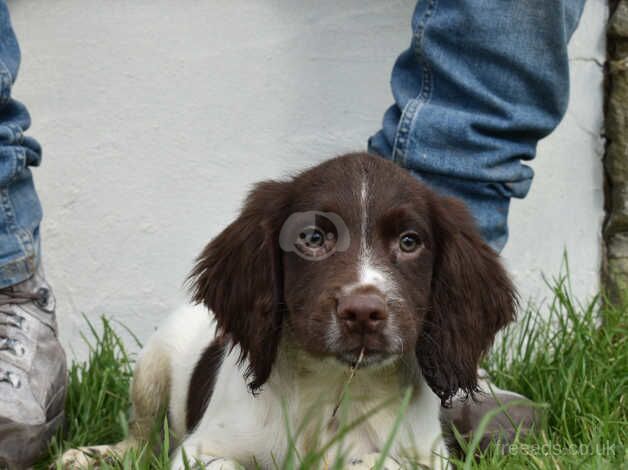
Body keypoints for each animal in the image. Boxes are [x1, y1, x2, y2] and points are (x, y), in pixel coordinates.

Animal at [61, 152, 516, 468]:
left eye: (409, 241)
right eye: (312, 238)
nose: (363, 313)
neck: (337, 386)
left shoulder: (428, 456)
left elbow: (378, 460)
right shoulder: (201, 450)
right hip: (151, 368)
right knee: (142, 440)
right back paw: (95, 456)